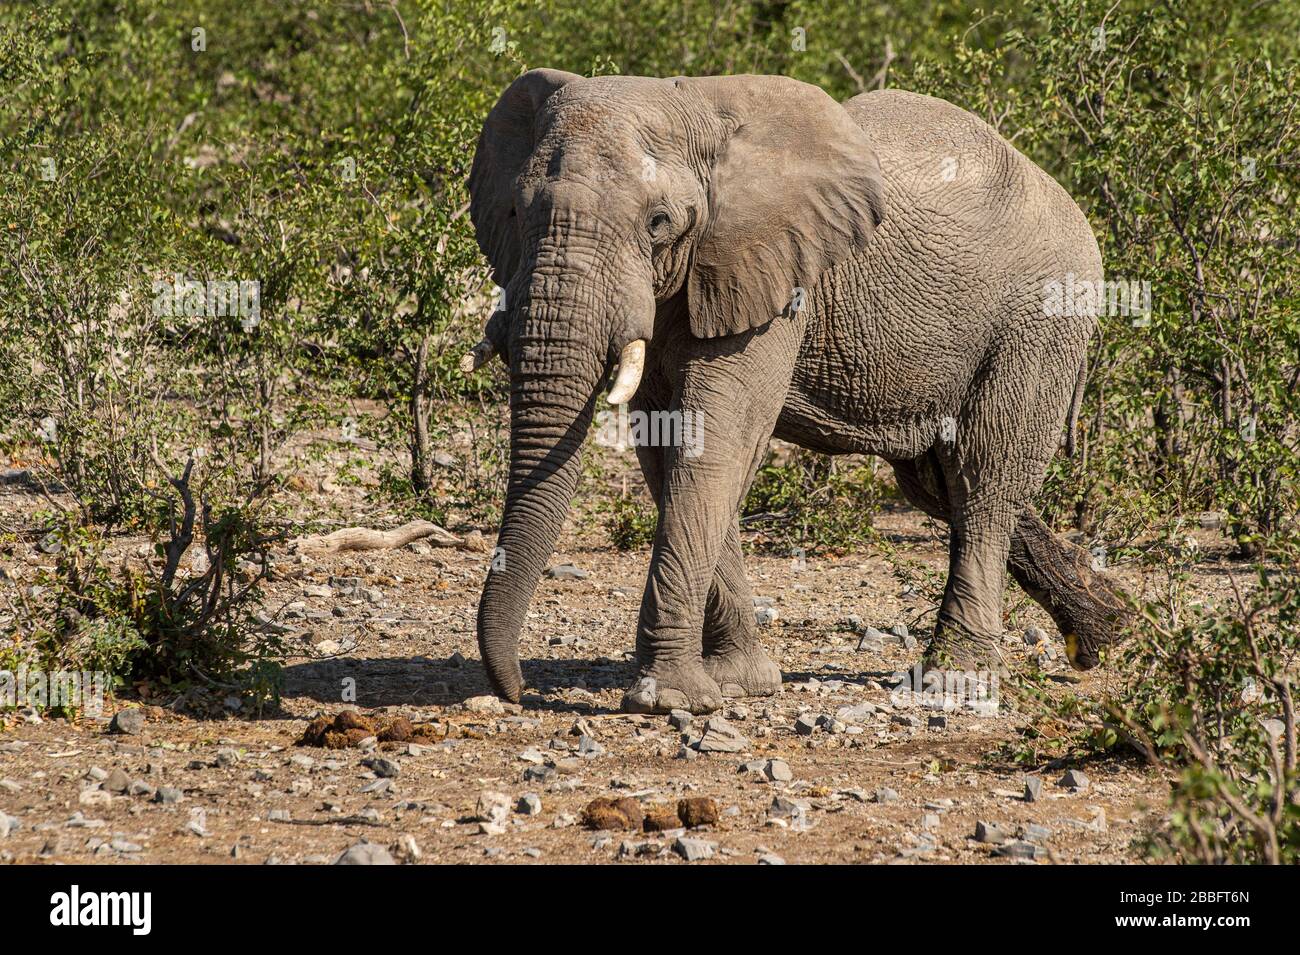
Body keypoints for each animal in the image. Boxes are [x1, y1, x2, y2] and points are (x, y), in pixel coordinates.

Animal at [460, 70, 1128, 717]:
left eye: (658, 223)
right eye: (515, 212)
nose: (516, 690)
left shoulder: (774, 277)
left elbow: (719, 441)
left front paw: (666, 699)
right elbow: (671, 447)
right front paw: (740, 684)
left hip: (1041, 320)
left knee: (984, 476)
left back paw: (955, 680)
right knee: (938, 484)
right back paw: (1105, 627)